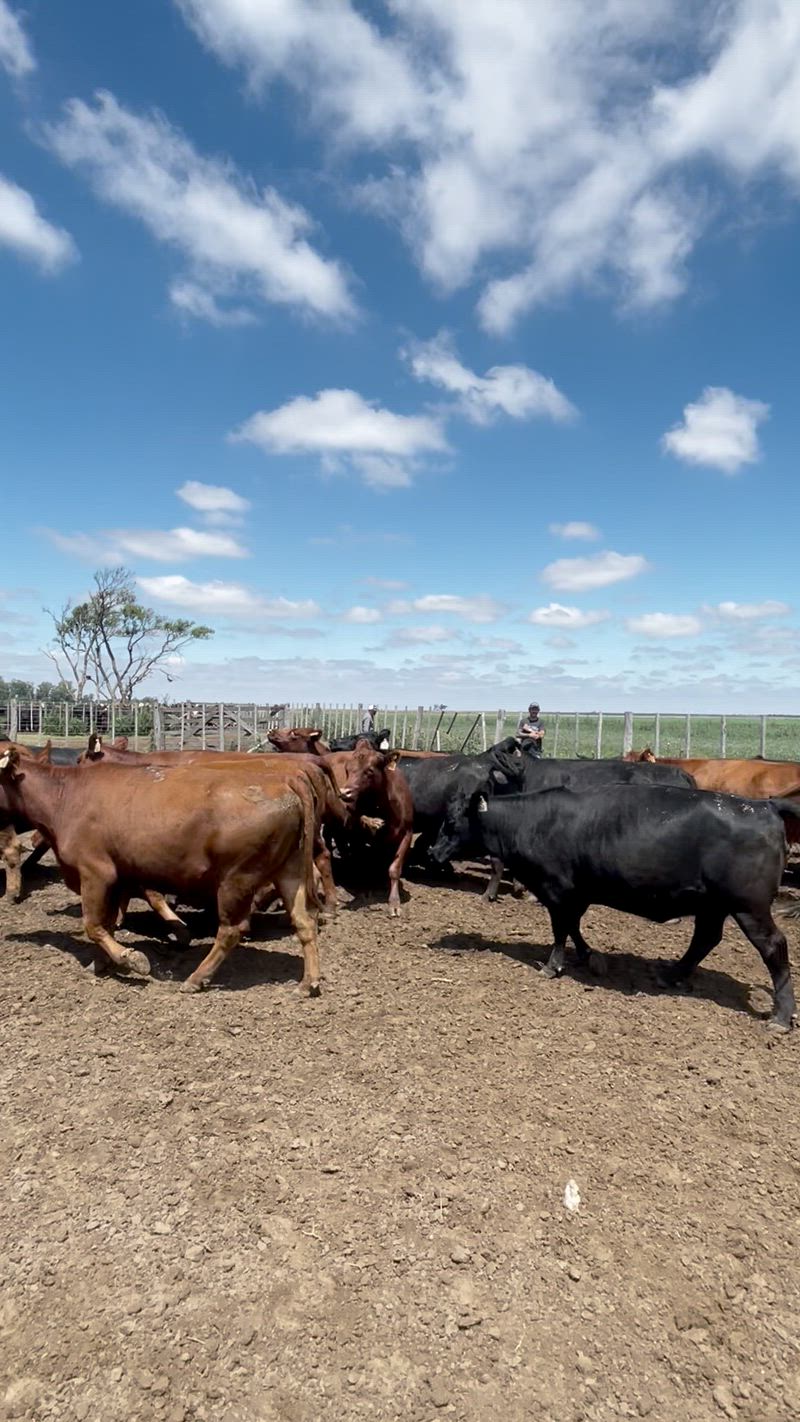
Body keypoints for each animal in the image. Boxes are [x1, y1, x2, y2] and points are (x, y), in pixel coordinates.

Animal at [0, 749, 321, 995]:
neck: (64, 796)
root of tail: (286, 782)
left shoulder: (95, 872)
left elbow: (93, 925)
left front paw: (131, 959)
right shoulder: (119, 878)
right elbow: (108, 923)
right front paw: (102, 963)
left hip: (237, 879)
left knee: (231, 930)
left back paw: (196, 978)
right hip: (289, 872)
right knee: (304, 923)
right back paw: (309, 982)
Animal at [431, 782, 800, 1032]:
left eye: (452, 823)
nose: (433, 852)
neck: (533, 821)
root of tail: (764, 806)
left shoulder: (558, 890)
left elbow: (561, 928)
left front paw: (552, 965)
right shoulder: (576, 893)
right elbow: (574, 926)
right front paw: (590, 957)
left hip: (748, 907)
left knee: (773, 947)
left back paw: (781, 1015)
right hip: (713, 905)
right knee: (705, 939)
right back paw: (671, 975)